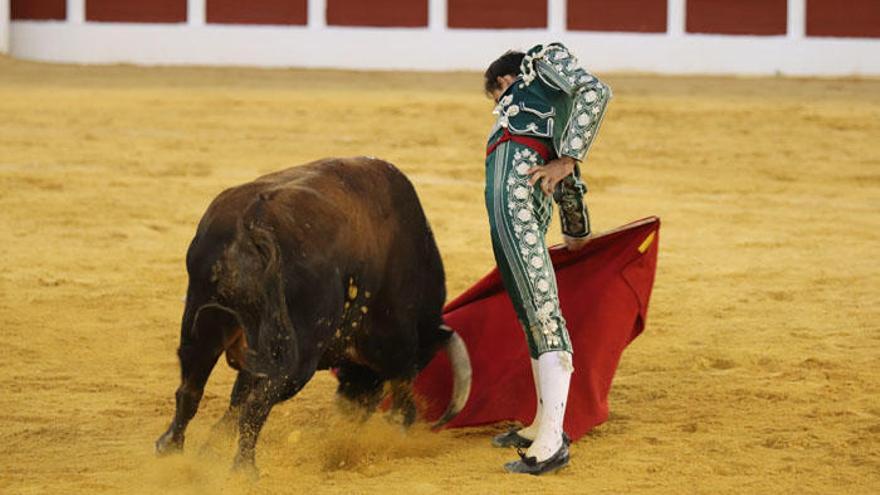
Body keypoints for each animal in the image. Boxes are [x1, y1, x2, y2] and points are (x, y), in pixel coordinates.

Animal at [158, 158, 474, 472]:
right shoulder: (399, 345)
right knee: (256, 405)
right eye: (425, 358)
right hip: (296, 356)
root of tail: (251, 225)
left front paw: (210, 450)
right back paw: (244, 469)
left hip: (203, 326)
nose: (353, 406)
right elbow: (403, 393)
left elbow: (237, 397)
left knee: (190, 391)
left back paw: (171, 449)